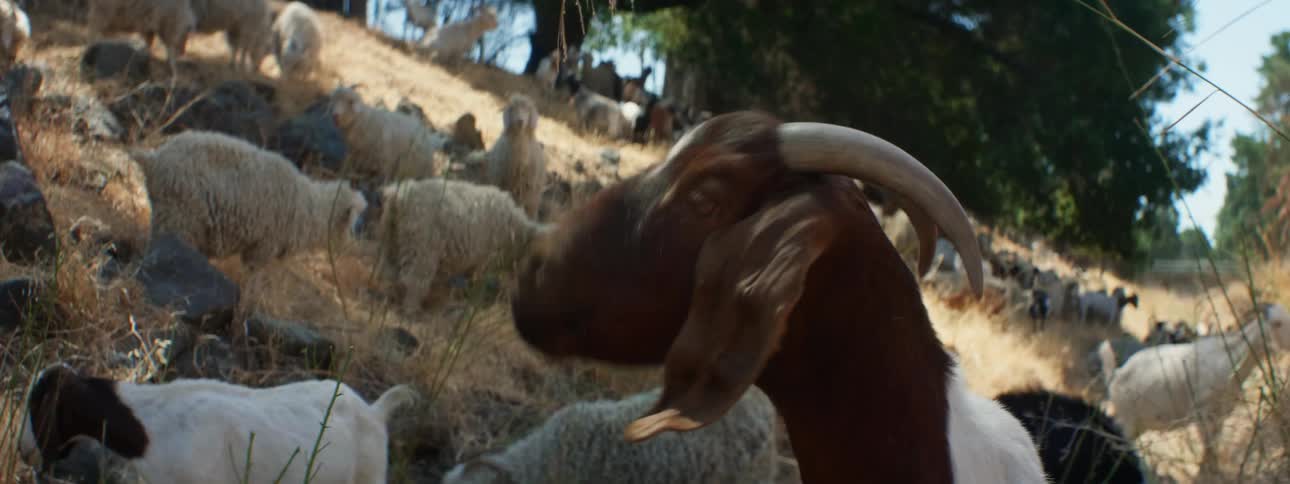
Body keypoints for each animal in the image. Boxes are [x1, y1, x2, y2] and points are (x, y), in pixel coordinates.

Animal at [129, 130, 368, 267]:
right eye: (352, 223)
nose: (355, 248)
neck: (309, 207)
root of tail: (155, 159)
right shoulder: (262, 249)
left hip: (168, 213)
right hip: (180, 217)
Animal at [373, 178, 549, 313]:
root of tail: (401, 196)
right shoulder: (486, 261)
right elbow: (478, 283)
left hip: (393, 239)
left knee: (390, 270)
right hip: (422, 246)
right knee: (414, 279)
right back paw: (411, 309)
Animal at [1100, 303, 1290, 475]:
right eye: (1277, 323)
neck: (1229, 359)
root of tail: (1116, 374)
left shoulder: (1219, 416)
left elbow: (1212, 448)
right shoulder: (1201, 414)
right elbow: (1208, 448)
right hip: (1127, 422)